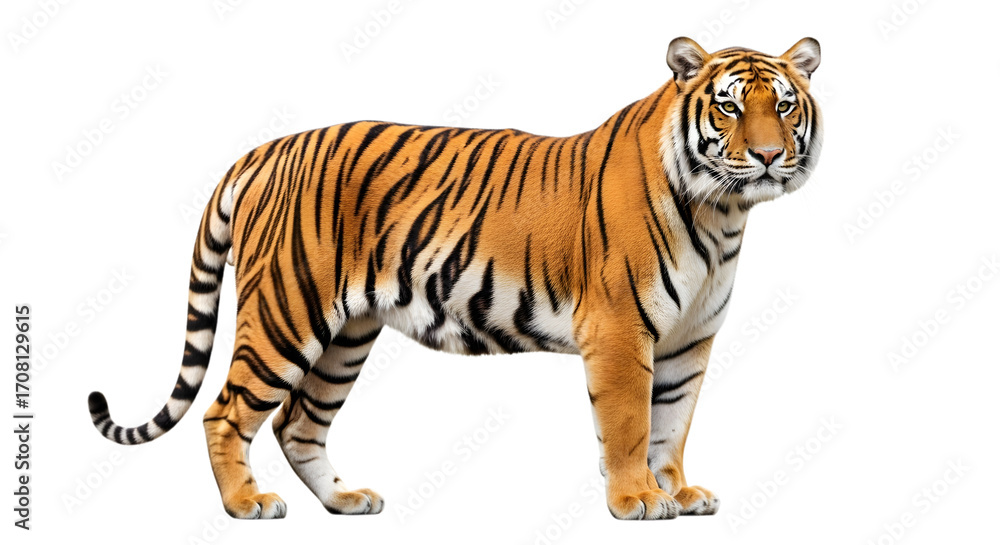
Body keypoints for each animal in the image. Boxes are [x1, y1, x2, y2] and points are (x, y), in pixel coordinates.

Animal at [88, 36, 822, 520]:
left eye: (785, 107)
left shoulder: (688, 341)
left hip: (345, 336)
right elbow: (630, 425)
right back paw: (246, 503)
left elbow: (672, 423)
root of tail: (267, 148)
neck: (723, 212)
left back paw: (345, 499)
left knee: (298, 423)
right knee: (226, 411)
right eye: (729, 108)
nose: (768, 155)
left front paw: (676, 491)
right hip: (284, 313)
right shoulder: (619, 331)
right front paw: (636, 499)